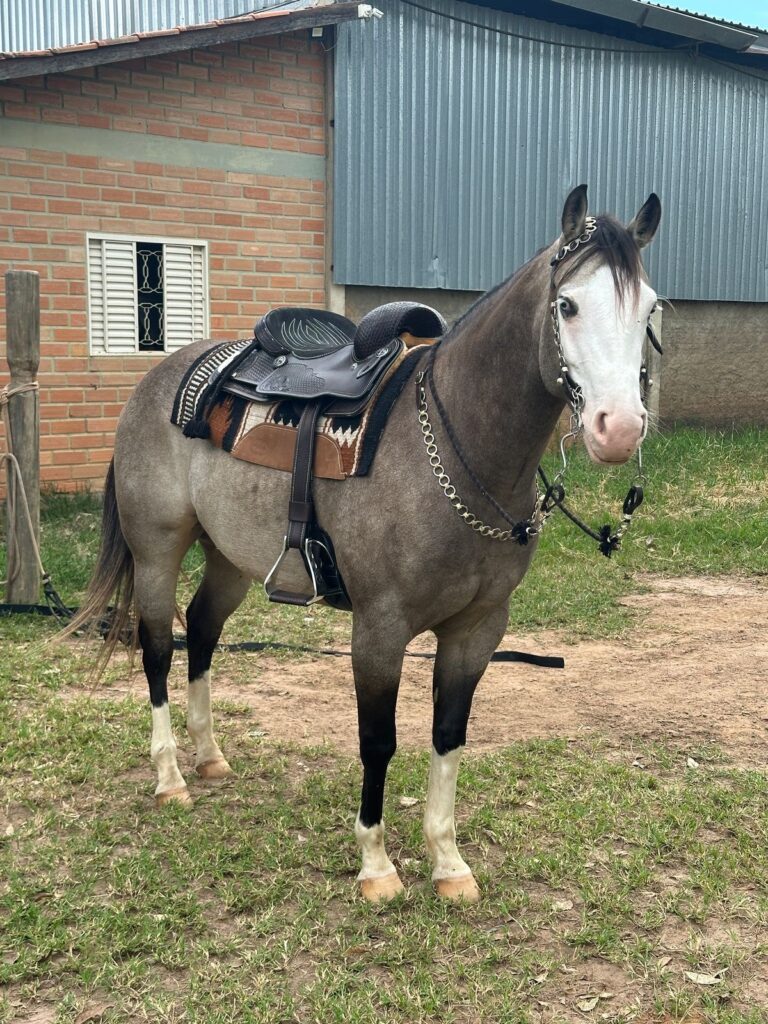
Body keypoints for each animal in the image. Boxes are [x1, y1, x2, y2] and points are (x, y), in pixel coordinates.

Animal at [72, 185, 661, 903]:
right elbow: (378, 740)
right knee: (159, 649)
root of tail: (158, 381)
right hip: (158, 551)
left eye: (650, 308)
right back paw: (170, 779)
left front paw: (448, 863)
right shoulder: (379, 629)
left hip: (230, 557)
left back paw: (209, 757)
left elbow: (448, 735)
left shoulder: (478, 630)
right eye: (568, 305)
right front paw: (377, 866)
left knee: (204, 632)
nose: (618, 428)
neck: (454, 450)